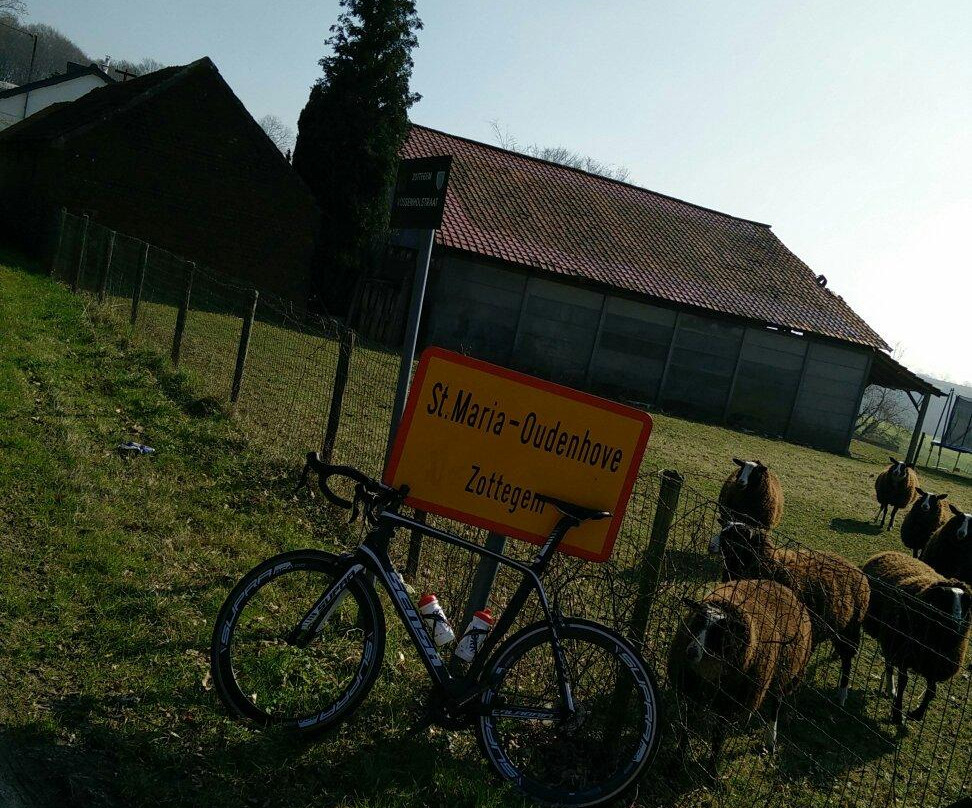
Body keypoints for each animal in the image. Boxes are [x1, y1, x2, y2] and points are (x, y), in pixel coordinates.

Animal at [668, 576, 812, 772]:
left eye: (719, 632)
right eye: (697, 621)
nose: (691, 652)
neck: (709, 671)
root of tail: (780, 586)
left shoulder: (728, 702)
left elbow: (718, 737)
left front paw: (712, 770)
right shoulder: (693, 689)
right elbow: (687, 725)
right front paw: (677, 759)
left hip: (782, 675)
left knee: (775, 705)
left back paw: (770, 741)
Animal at [708, 520, 872, 704]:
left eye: (733, 536)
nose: (710, 546)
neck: (770, 564)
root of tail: (858, 571)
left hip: (849, 629)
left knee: (847, 659)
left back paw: (842, 694)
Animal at [860, 552, 968, 724]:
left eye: (965, 604)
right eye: (944, 600)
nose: (955, 624)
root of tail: (887, 552)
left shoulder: (933, 666)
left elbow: (932, 691)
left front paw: (917, 714)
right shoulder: (905, 655)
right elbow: (904, 682)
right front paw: (898, 714)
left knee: (889, 663)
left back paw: (891, 690)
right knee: (889, 664)